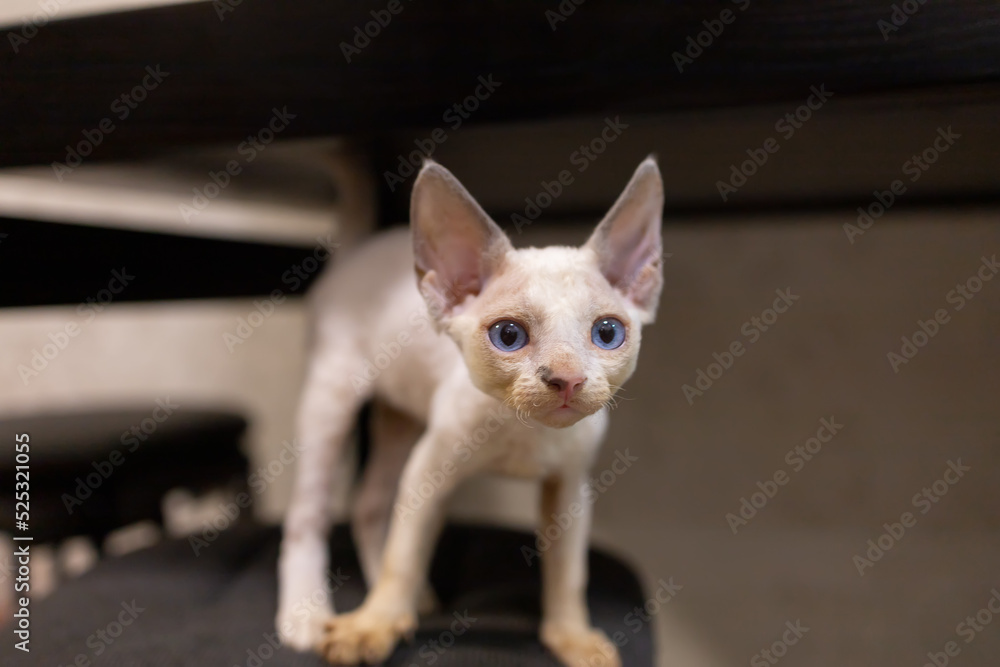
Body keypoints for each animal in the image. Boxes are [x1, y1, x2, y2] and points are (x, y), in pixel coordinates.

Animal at [278, 158, 664, 667]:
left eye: (606, 333)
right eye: (508, 336)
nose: (567, 378)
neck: (525, 433)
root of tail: (359, 252)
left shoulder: (569, 488)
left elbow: (567, 569)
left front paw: (572, 637)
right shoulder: (428, 473)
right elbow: (404, 555)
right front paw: (372, 625)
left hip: (400, 415)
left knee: (369, 502)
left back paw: (413, 600)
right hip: (331, 397)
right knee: (309, 512)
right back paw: (305, 614)